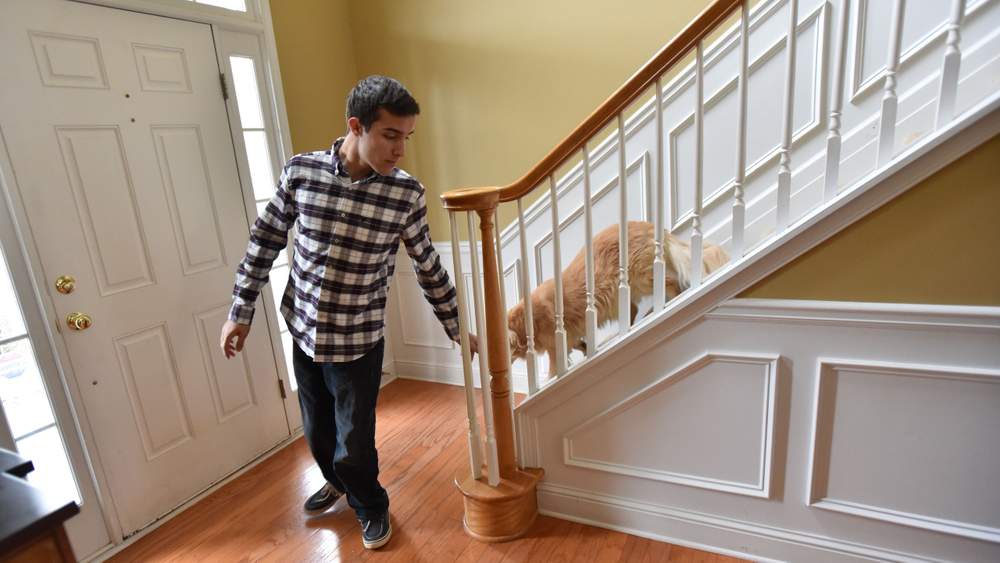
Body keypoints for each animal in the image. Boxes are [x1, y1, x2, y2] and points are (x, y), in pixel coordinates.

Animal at [508, 220, 728, 374]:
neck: (525, 321)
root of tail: (648, 225)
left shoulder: (556, 346)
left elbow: (554, 368)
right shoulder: (569, 336)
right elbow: (578, 343)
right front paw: (586, 348)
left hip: (642, 276)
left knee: (670, 284)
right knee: (634, 309)